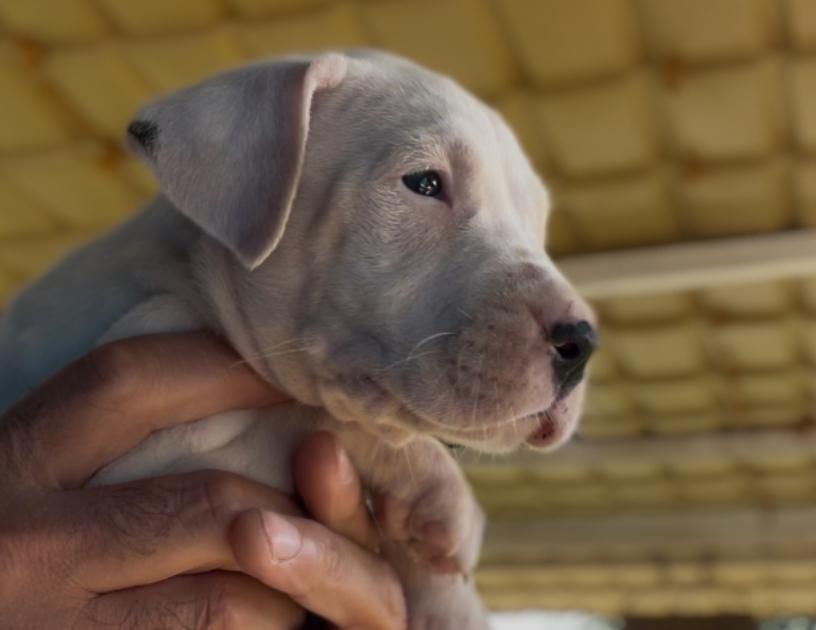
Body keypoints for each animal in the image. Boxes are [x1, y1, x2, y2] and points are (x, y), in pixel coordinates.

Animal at [0, 50, 600, 630]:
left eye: (536, 221)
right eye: (424, 183)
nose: (584, 343)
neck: (181, 276)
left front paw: (445, 591)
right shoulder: (146, 453)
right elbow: (313, 413)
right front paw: (443, 502)